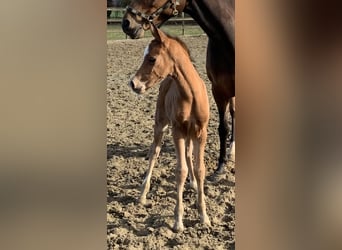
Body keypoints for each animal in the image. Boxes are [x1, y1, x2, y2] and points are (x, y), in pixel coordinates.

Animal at [130, 24, 211, 231]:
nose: (133, 83)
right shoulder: (177, 132)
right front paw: (178, 221)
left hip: (189, 134)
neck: (191, 95)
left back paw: (194, 185)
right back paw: (143, 193)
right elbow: (180, 171)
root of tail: (167, 79)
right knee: (155, 151)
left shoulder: (201, 133)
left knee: (189, 155)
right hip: (161, 125)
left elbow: (199, 169)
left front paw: (204, 216)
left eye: (152, 58)